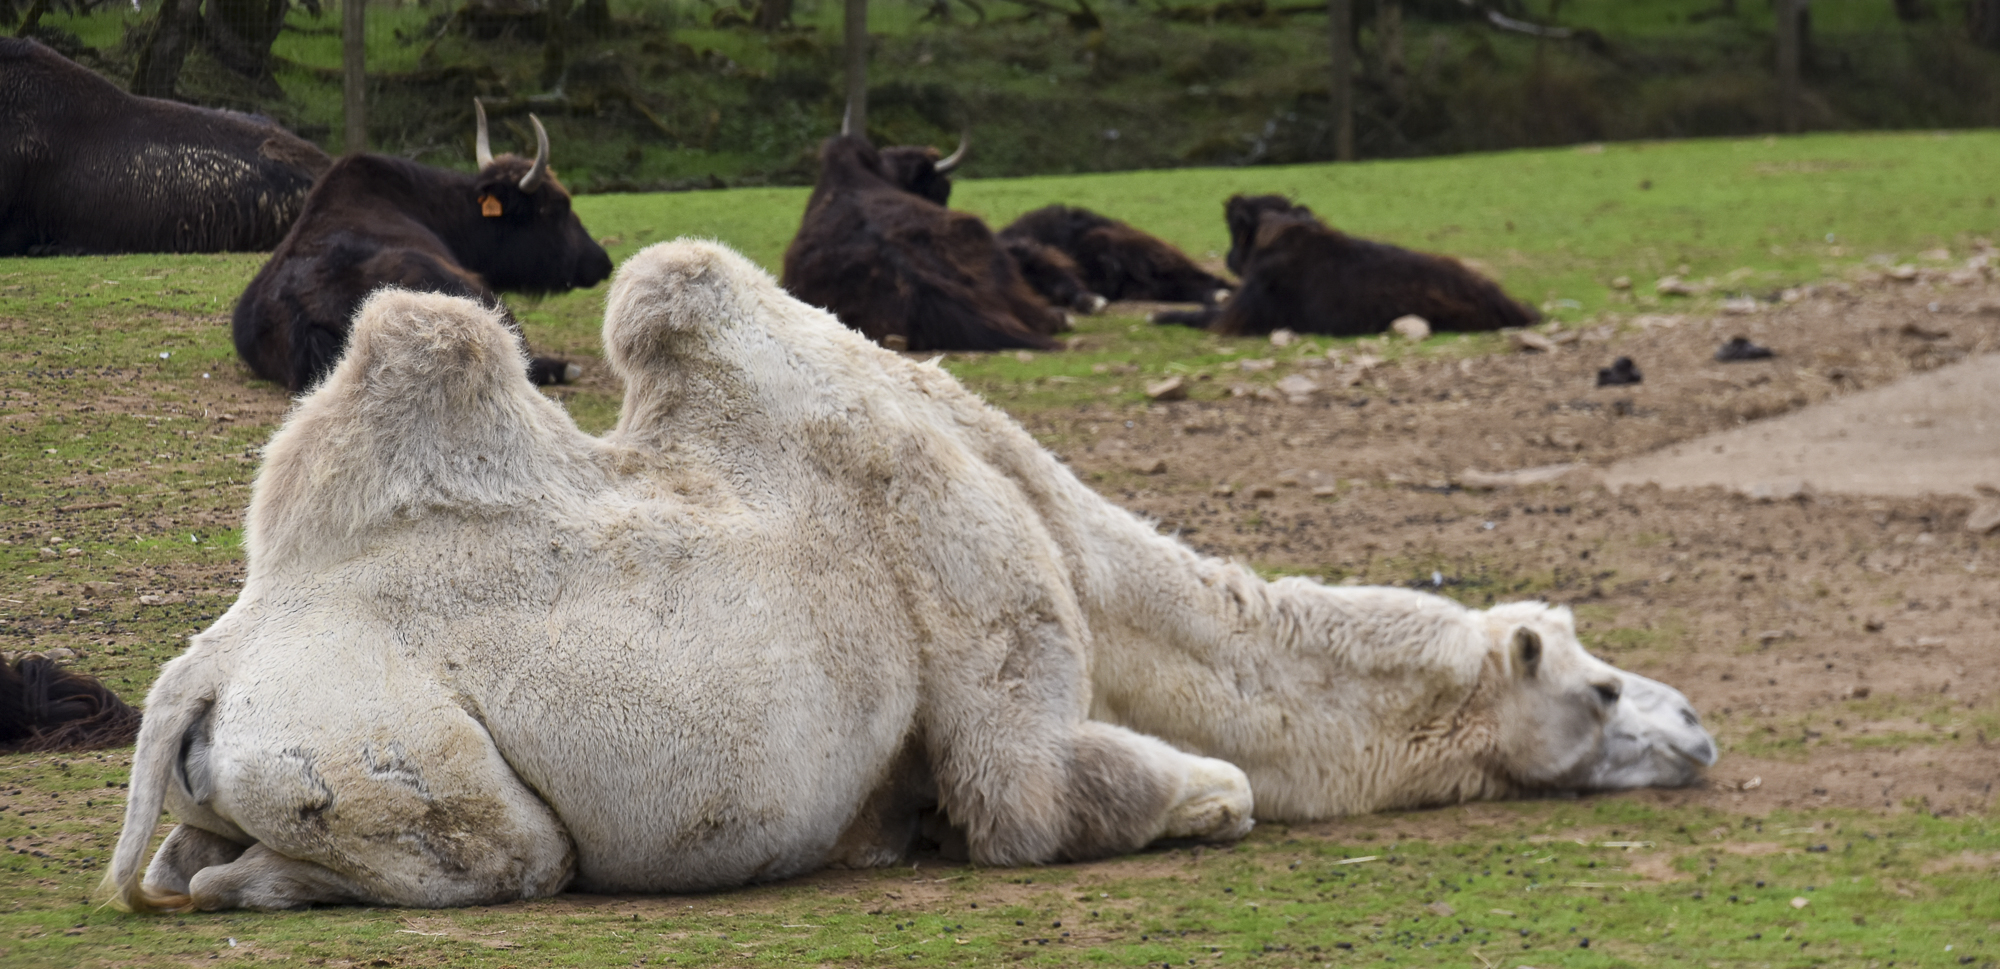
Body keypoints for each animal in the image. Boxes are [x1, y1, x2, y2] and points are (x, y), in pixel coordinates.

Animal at [98, 286, 1255, 912]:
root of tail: (203, 666)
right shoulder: (975, 583)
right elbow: (1047, 793)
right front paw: (1219, 802)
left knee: (186, 861)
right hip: (371, 752)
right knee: (510, 856)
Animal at [999, 204, 1232, 308]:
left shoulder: (1046, 261)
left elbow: (1066, 284)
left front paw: (1092, 302)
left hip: (1133, 252)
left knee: (1204, 278)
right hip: (1145, 285)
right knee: (1181, 287)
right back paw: (1217, 296)